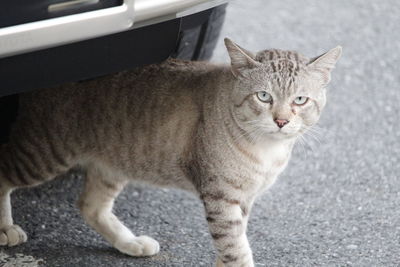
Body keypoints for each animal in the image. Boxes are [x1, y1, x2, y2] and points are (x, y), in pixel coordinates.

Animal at [0, 38, 340, 267]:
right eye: (264, 96)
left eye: (300, 100)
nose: (281, 121)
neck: (267, 151)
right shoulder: (221, 196)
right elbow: (235, 248)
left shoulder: (243, 199)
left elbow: (231, 244)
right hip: (45, 152)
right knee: (4, 173)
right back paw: (5, 229)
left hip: (113, 163)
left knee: (90, 205)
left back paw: (130, 242)